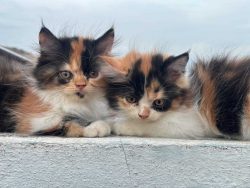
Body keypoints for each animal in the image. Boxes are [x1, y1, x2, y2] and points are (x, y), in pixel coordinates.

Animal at [99, 51, 250, 140]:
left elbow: (157, 125)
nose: (143, 115)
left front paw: (119, 125)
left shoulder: (192, 123)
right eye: (131, 99)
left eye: (159, 102)